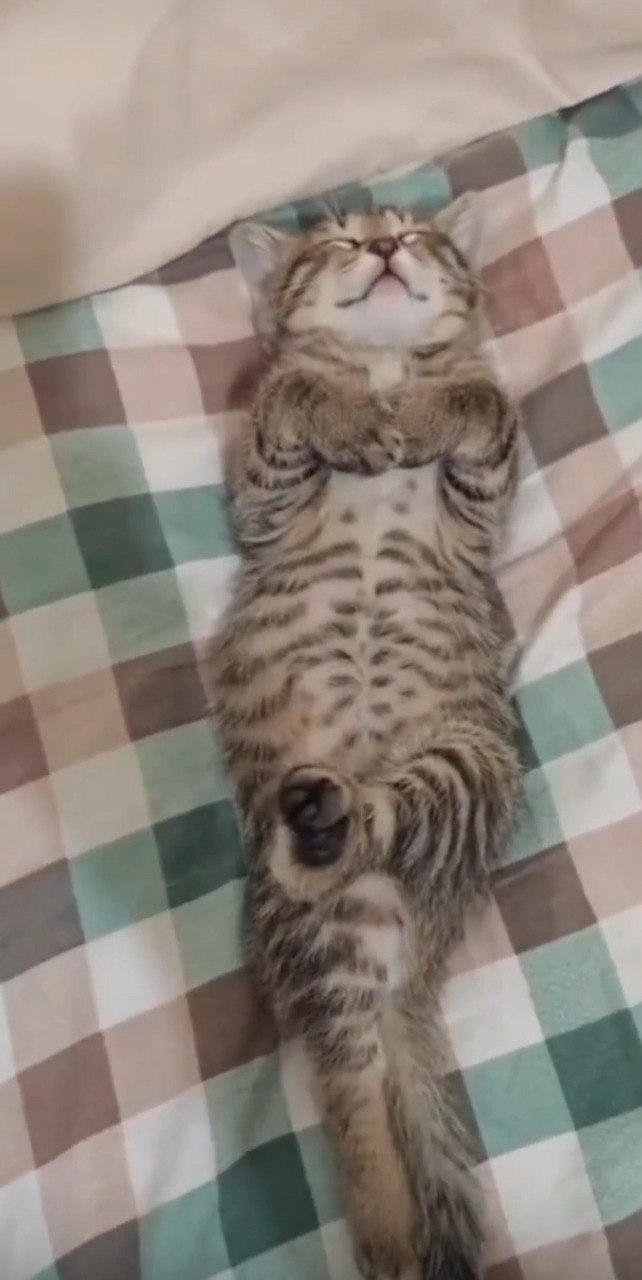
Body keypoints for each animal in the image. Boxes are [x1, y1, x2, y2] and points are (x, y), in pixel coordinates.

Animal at [212, 198, 521, 1280]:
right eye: (340, 241)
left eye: (423, 237)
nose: (387, 244)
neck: (385, 364)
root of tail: (408, 970)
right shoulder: (259, 495)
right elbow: (291, 390)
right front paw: (349, 413)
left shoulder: (482, 497)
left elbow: (483, 402)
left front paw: (427, 408)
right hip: (319, 952)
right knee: (351, 1104)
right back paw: (387, 1231)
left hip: (469, 772)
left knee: (386, 814)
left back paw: (326, 818)